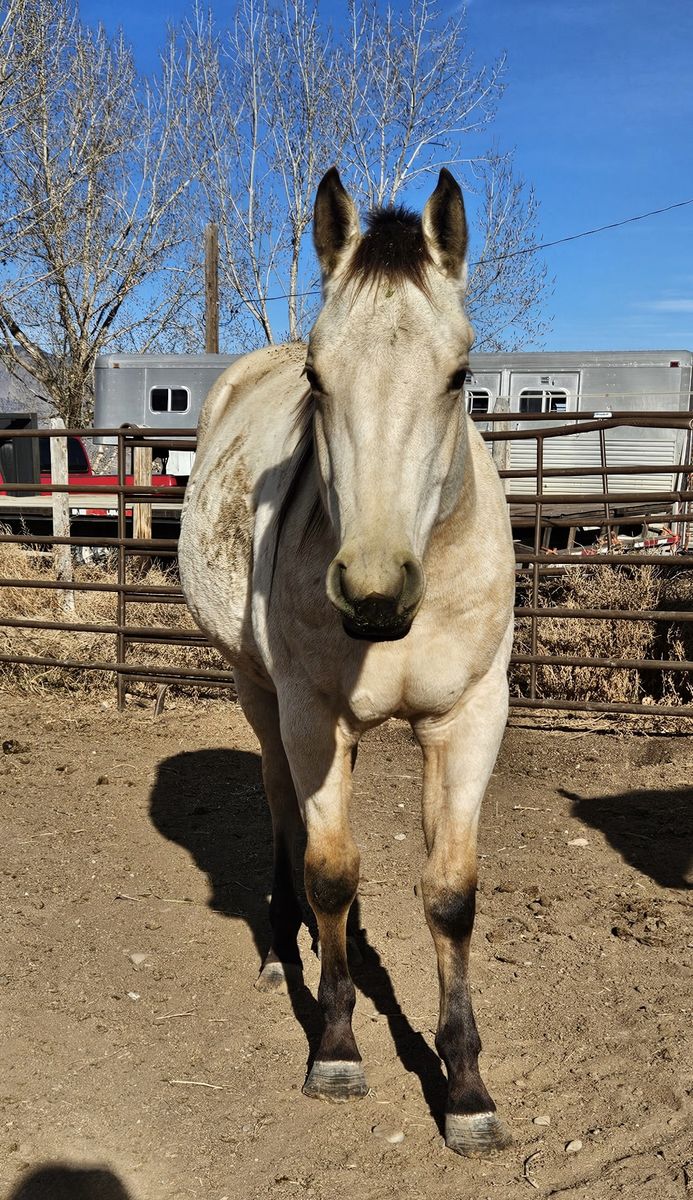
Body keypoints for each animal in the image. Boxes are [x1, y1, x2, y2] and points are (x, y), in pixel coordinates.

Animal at [178, 166, 516, 1157]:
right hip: (260, 695)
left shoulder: (469, 718)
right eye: (317, 379)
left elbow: (449, 895)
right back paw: (278, 945)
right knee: (286, 814)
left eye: (459, 376)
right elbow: (329, 869)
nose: (372, 590)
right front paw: (334, 1047)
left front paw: (465, 1090)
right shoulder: (310, 710)